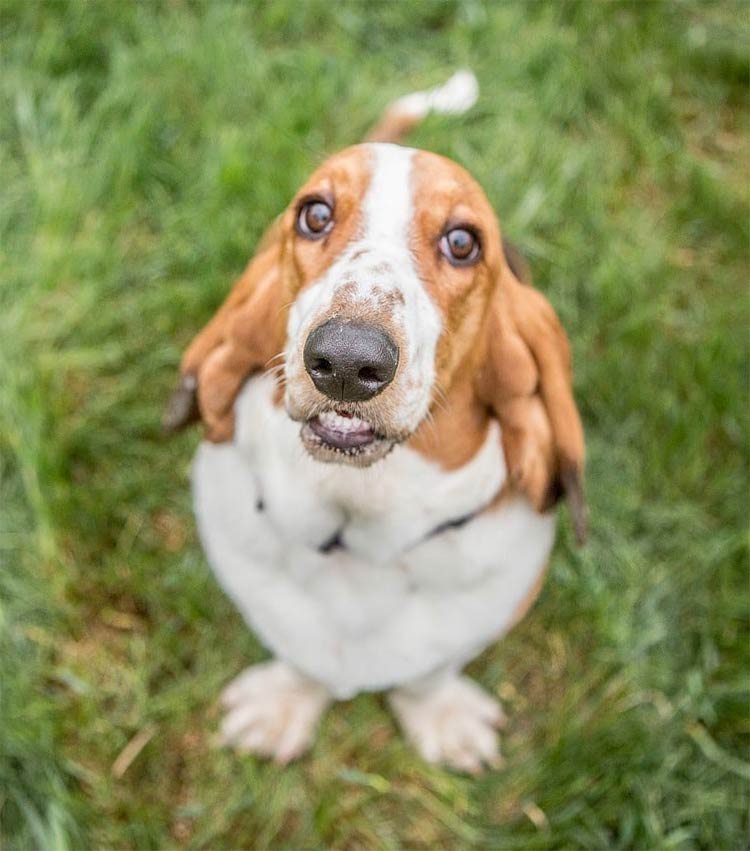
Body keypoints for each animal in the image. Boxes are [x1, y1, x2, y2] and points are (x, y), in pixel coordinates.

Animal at [166, 73, 588, 772]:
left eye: (463, 242)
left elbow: (429, 674)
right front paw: (282, 707)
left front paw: (440, 719)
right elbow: (298, 658)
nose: (345, 360)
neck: (356, 527)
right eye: (314, 215)